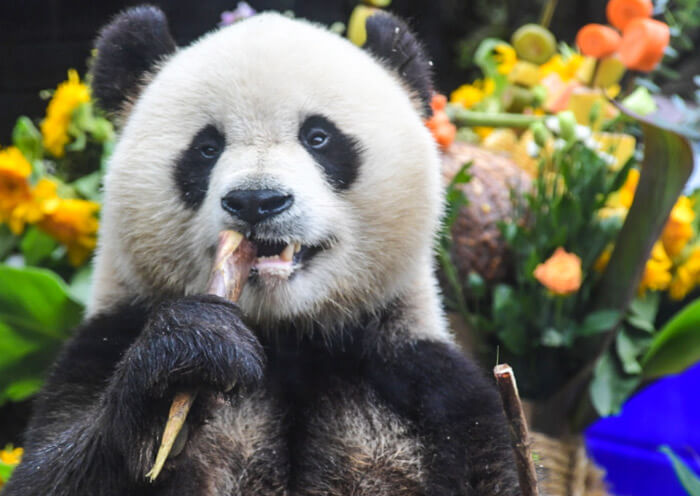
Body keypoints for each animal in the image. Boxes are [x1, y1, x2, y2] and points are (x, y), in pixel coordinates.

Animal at [5, 4, 520, 496]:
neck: (285, 338)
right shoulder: (101, 349)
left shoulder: (426, 388)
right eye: (206, 148)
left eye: (319, 137)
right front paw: (189, 352)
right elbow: (44, 474)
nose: (257, 200)